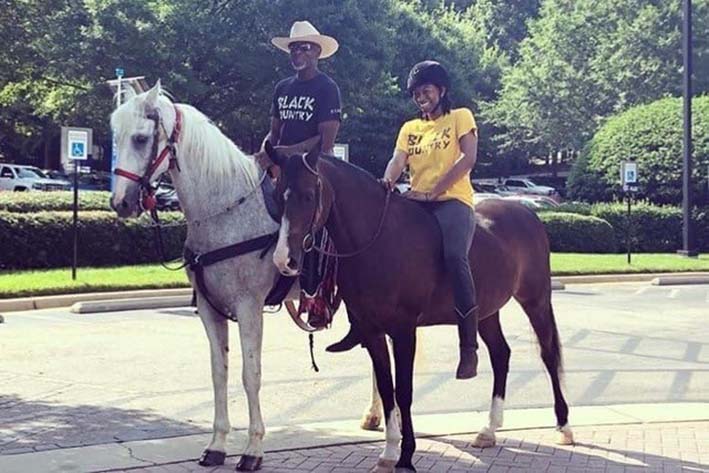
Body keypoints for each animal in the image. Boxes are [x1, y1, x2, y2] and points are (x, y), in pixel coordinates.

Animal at [110, 81, 294, 468]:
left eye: (140, 138)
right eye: (115, 136)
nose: (120, 202)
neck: (225, 209)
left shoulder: (249, 308)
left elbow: (250, 375)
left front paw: (253, 449)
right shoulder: (210, 310)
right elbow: (219, 373)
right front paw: (217, 444)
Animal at [268, 147, 572, 468]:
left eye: (308, 195)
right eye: (276, 196)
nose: (284, 259)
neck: (379, 239)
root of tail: (527, 212)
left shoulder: (404, 330)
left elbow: (403, 391)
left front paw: (405, 455)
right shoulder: (373, 331)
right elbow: (387, 387)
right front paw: (389, 451)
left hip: (536, 300)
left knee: (548, 354)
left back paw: (564, 426)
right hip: (487, 312)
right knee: (501, 354)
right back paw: (489, 430)